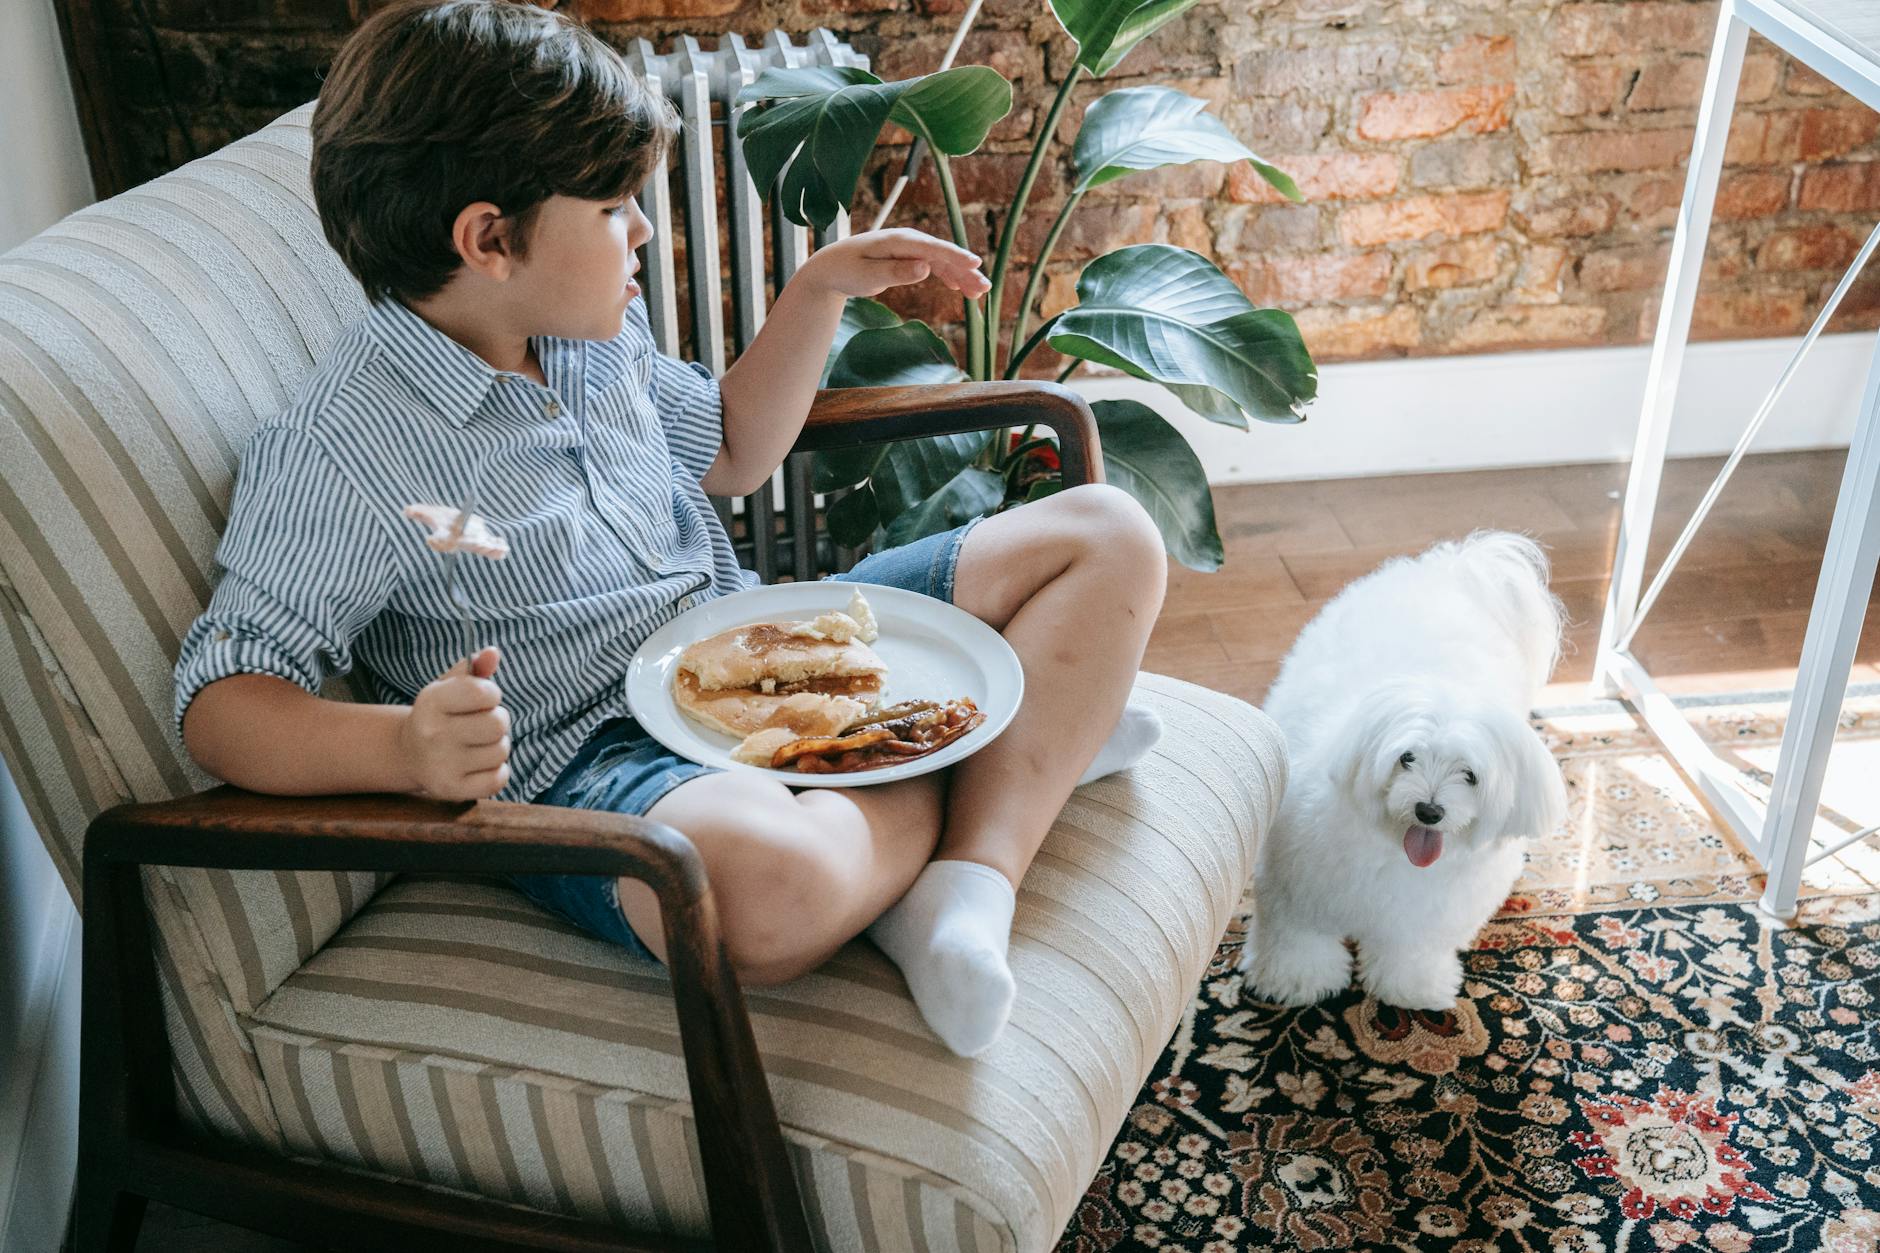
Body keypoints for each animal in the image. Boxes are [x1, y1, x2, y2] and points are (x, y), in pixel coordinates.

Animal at [1240, 530, 1564, 1008]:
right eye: (1407, 757)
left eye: (1470, 776)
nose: (1429, 811)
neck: (1393, 848)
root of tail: (1453, 566)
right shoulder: (1297, 888)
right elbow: (1298, 939)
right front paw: (1296, 982)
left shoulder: (1423, 919)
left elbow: (1411, 953)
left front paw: (1413, 990)